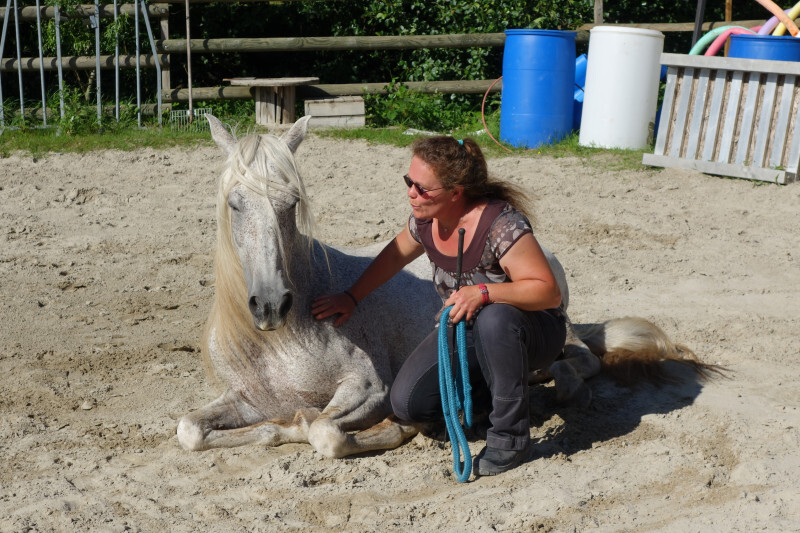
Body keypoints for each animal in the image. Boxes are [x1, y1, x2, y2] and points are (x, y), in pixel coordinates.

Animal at [177, 114, 718, 458]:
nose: (270, 304)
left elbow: (325, 433)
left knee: (580, 359)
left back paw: (557, 384)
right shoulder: (247, 400)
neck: (286, 335)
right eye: (234, 203)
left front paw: (401, 428)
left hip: (553, 327)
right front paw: (277, 430)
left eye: (291, 204)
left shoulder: (368, 387)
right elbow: (192, 431)